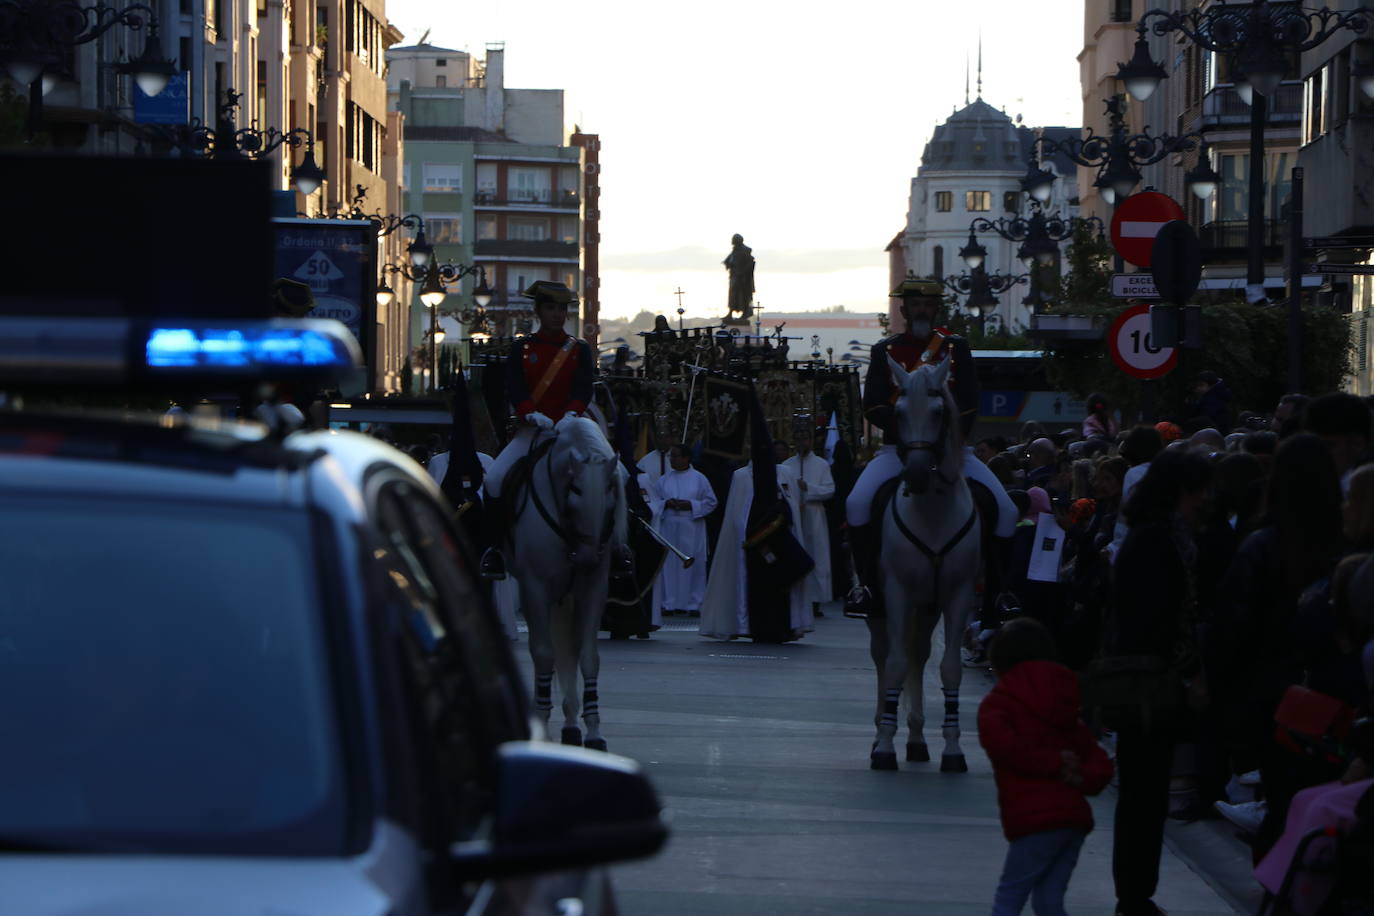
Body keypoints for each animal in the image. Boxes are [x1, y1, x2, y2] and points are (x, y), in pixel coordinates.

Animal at [511, 414, 629, 752]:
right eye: (575, 489)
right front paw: (540, 725)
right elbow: (543, 654)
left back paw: (572, 725)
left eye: (612, 490)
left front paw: (593, 731)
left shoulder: (593, 589)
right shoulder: (534, 587)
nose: (588, 558)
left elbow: (588, 656)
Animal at [868, 357, 978, 774]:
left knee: (918, 653)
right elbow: (895, 663)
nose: (915, 473)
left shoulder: (958, 595)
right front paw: (884, 746)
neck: (932, 511)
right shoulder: (896, 592)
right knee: (884, 654)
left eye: (938, 412)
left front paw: (953, 749)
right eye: (897, 412)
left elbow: (949, 668)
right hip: (880, 605)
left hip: (927, 607)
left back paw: (916, 739)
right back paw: (881, 730)